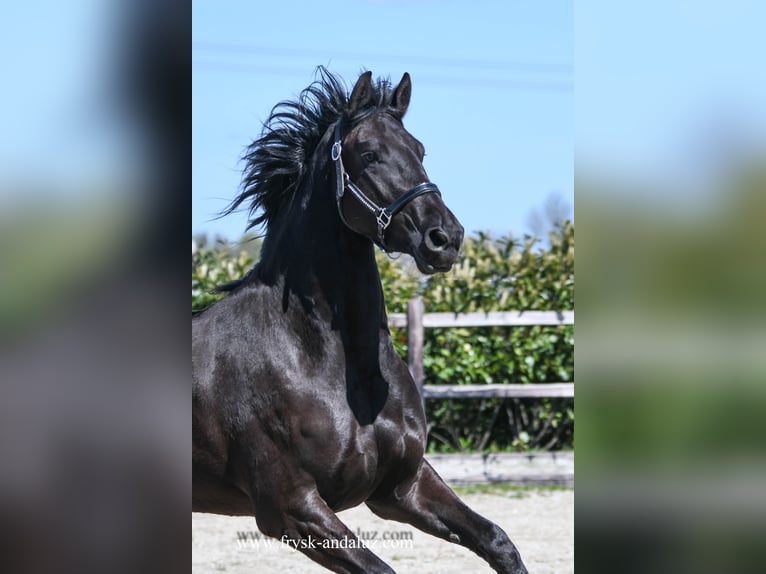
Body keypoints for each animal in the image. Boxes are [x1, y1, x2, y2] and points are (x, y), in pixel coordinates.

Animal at [194, 68, 528, 574]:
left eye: (420, 150)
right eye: (369, 154)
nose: (445, 238)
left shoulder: (402, 487)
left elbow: (498, 540)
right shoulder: (292, 508)